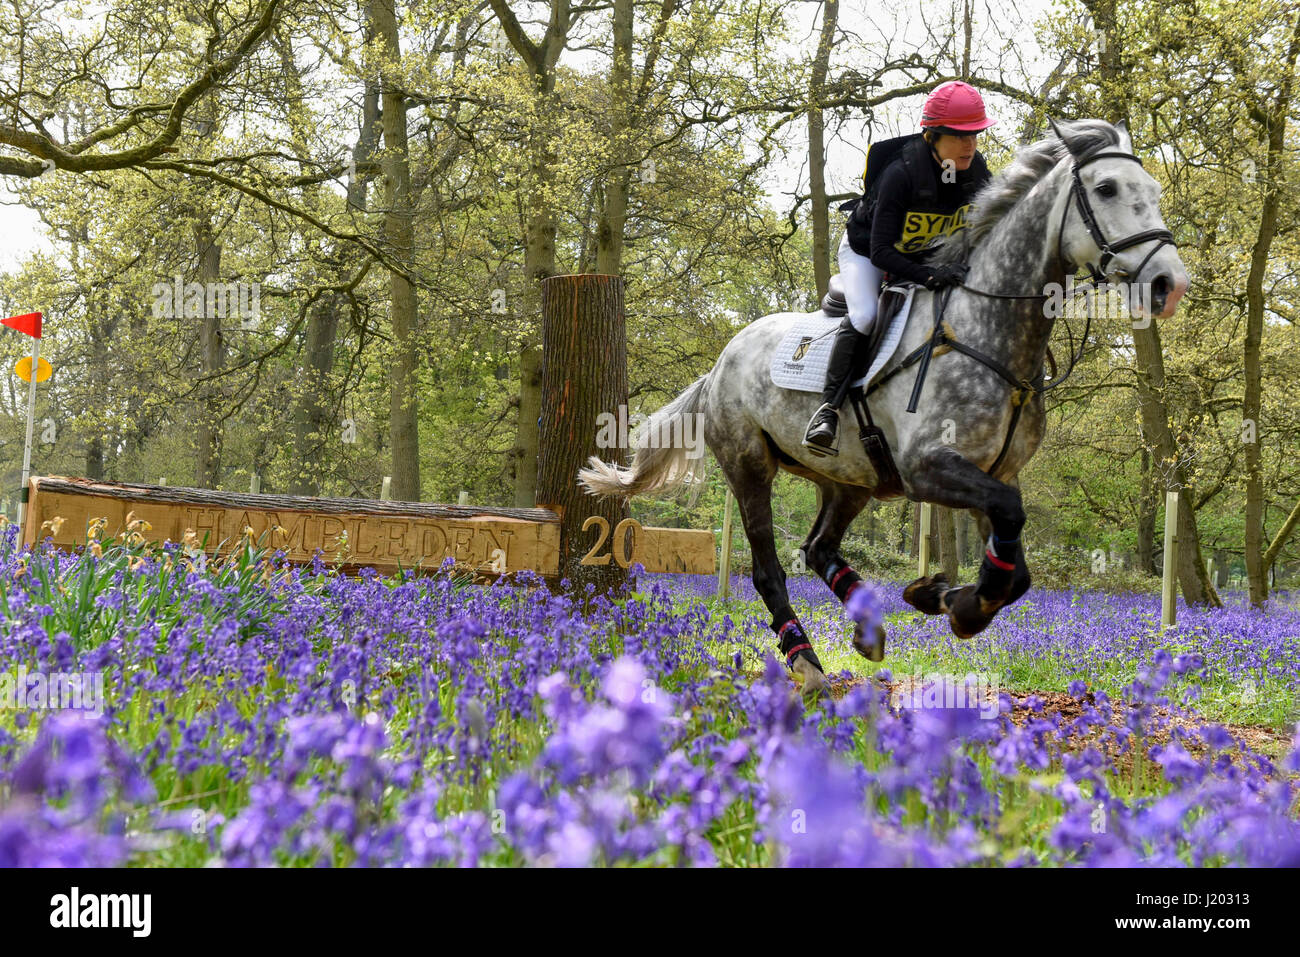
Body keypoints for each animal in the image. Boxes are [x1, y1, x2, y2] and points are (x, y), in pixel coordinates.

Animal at [579, 121, 1190, 702]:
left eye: (1155, 191)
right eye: (1106, 188)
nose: (1170, 283)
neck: (987, 333)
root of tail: (721, 362)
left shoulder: (993, 473)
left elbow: (1016, 567)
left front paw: (939, 594)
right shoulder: (928, 469)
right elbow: (1010, 529)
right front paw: (961, 606)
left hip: (850, 480)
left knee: (818, 547)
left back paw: (867, 628)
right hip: (750, 465)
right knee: (769, 569)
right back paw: (807, 663)